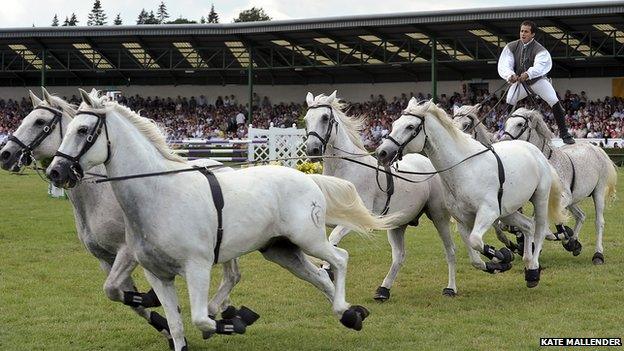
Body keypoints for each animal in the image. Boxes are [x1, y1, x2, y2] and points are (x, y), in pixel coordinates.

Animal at [0, 88, 247, 350]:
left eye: (39, 122)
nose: (6, 154)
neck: (100, 196)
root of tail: (222, 166)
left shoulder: (126, 253)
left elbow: (114, 290)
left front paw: (153, 302)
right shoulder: (105, 259)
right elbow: (123, 297)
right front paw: (165, 327)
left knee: (232, 276)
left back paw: (217, 313)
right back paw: (222, 311)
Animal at [46, 88, 392, 351]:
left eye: (82, 130)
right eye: (69, 129)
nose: (56, 172)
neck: (159, 195)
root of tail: (308, 178)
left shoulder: (196, 268)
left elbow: (201, 318)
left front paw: (235, 320)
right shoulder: (158, 276)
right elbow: (175, 325)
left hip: (308, 239)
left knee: (339, 259)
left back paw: (345, 310)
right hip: (281, 251)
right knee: (320, 276)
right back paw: (350, 315)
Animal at [304, 91, 486, 300]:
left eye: (325, 117)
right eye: (306, 119)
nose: (312, 150)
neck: (345, 172)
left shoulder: (357, 220)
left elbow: (332, 239)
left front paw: (327, 270)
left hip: (439, 217)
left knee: (450, 250)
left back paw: (451, 287)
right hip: (397, 224)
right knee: (399, 257)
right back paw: (383, 290)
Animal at [372, 99, 568, 288]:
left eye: (410, 126)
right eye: (394, 124)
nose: (382, 153)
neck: (465, 168)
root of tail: (535, 151)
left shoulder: (488, 213)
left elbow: (476, 241)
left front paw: (502, 255)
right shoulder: (463, 221)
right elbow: (474, 258)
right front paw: (499, 261)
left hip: (539, 198)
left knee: (539, 229)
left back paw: (533, 269)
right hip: (508, 212)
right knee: (528, 226)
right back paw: (528, 264)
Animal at [500, 108, 616, 266]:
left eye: (519, 124)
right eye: (505, 124)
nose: (502, 144)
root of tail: (596, 148)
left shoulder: (562, 198)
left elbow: (541, 223)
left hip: (597, 192)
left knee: (599, 222)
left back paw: (597, 254)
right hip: (574, 200)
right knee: (581, 215)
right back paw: (573, 243)